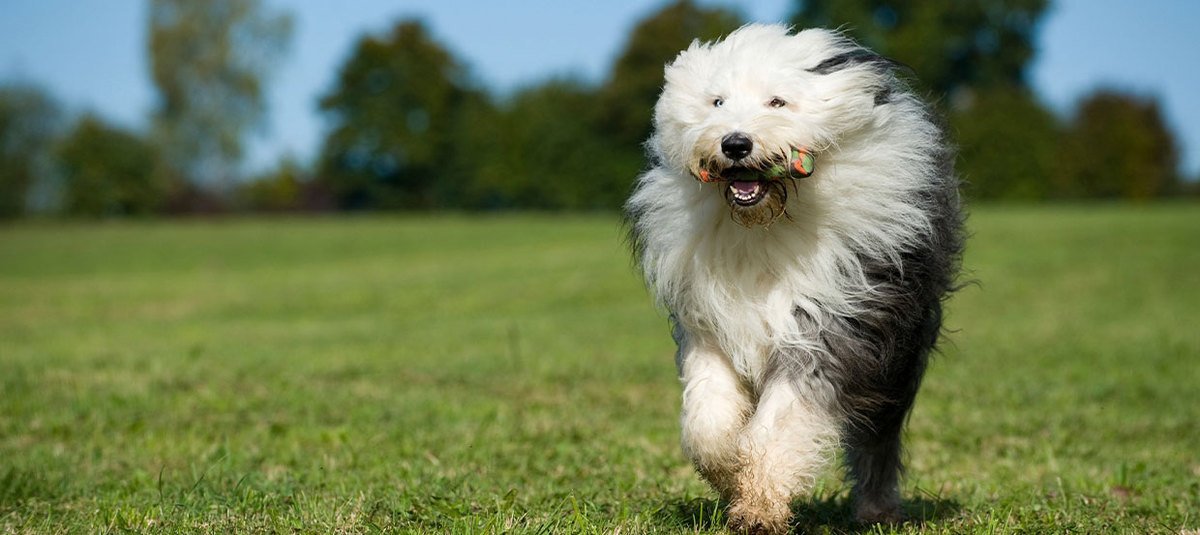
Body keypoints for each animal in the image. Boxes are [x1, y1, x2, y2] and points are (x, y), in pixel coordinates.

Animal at [624, 22, 960, 532]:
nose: (735, 144)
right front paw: (728, 469)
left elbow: (785, 419)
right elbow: (707, 419)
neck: (767, 223)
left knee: (878, 437)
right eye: (717, 102)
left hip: (897, 354)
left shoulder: (829, 321)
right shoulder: (709, 322)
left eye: (777, 102)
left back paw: (877, 509)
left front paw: (759, 505)